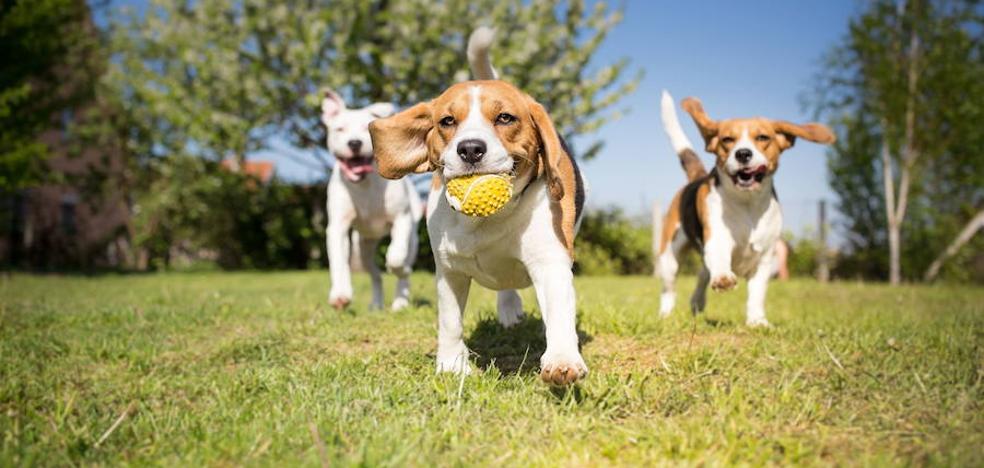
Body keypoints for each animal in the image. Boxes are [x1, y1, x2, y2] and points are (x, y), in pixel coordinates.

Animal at [322, 90, 422, 310]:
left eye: (365, 129)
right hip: (363, 248)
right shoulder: (338, 227)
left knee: (403, 266)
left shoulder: (401, 219)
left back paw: (400, 301)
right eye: (339, 129)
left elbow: (396, 257)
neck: (364, 184)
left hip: (412, 239)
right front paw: (340, 295)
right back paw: (376, 304)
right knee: (375, 275)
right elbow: (338, 261)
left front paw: (399, 269)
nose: (354, 143)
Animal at [368, 30, 584, 388]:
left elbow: (558, 315)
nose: (470, 148)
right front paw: (452, 365)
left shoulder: (550, 262)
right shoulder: (449, 270)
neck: (488, 220)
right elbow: (450, 322)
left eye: (505, 118)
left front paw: (562, 360)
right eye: (447, 121)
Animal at [656, 91, 836, 326]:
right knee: (669, 289)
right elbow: (720, 261)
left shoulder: (765, 258)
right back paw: (665, 314)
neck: (747, 204)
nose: (742, 154)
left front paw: (757, 321)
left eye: (762, 138)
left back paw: (697, 303)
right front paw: (724, 279)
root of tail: (697, 178)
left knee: (703, 275)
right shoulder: (718, 239)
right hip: (669, 257)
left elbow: (757, 294)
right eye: (727, 140)